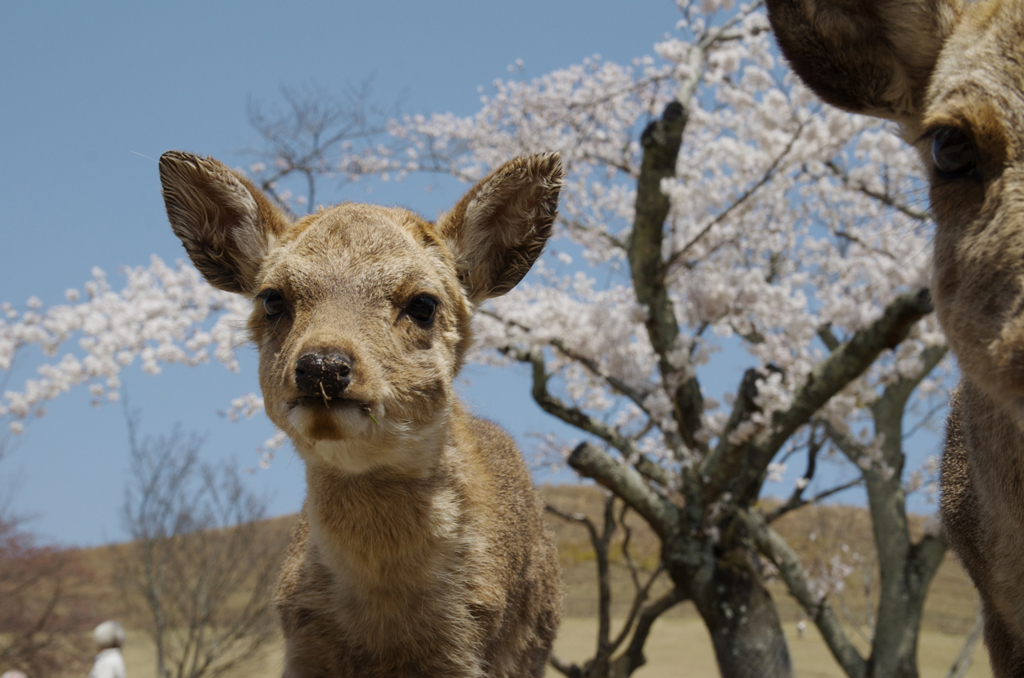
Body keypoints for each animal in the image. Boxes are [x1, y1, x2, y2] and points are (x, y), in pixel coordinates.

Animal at [155, 151, 565, 675]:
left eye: (424, 304)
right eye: (272, 298)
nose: (323, 366)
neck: (384, 630)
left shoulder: (467, 647)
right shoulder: (303, 646)